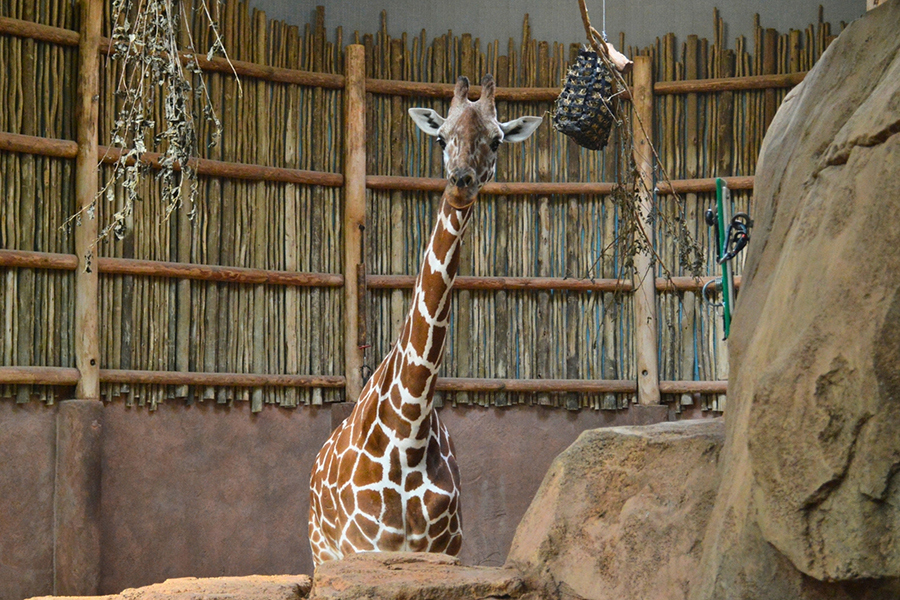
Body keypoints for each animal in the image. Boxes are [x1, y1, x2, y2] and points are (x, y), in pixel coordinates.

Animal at [308, 74, 542, 567]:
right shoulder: (364, 550)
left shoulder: (445, 551)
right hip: (322, 552)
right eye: (440, 137)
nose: (461, 181)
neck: (408, 433)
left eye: (497, 140)